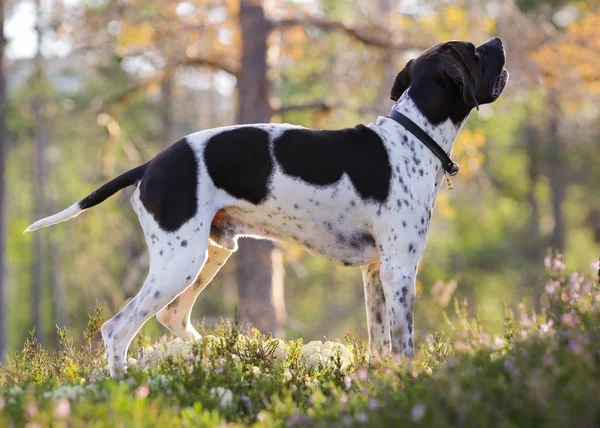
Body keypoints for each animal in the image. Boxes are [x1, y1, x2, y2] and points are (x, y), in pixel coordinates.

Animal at [25, 37, 508, 378]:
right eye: (473, 51)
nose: (499, 41)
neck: (413, 136)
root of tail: (150, 165)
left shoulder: (376, 272)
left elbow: (379, 342)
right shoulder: (400, 270)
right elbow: (404, 344)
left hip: (209, 256)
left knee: (172, 316)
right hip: (178, 263)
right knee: (117, 330)